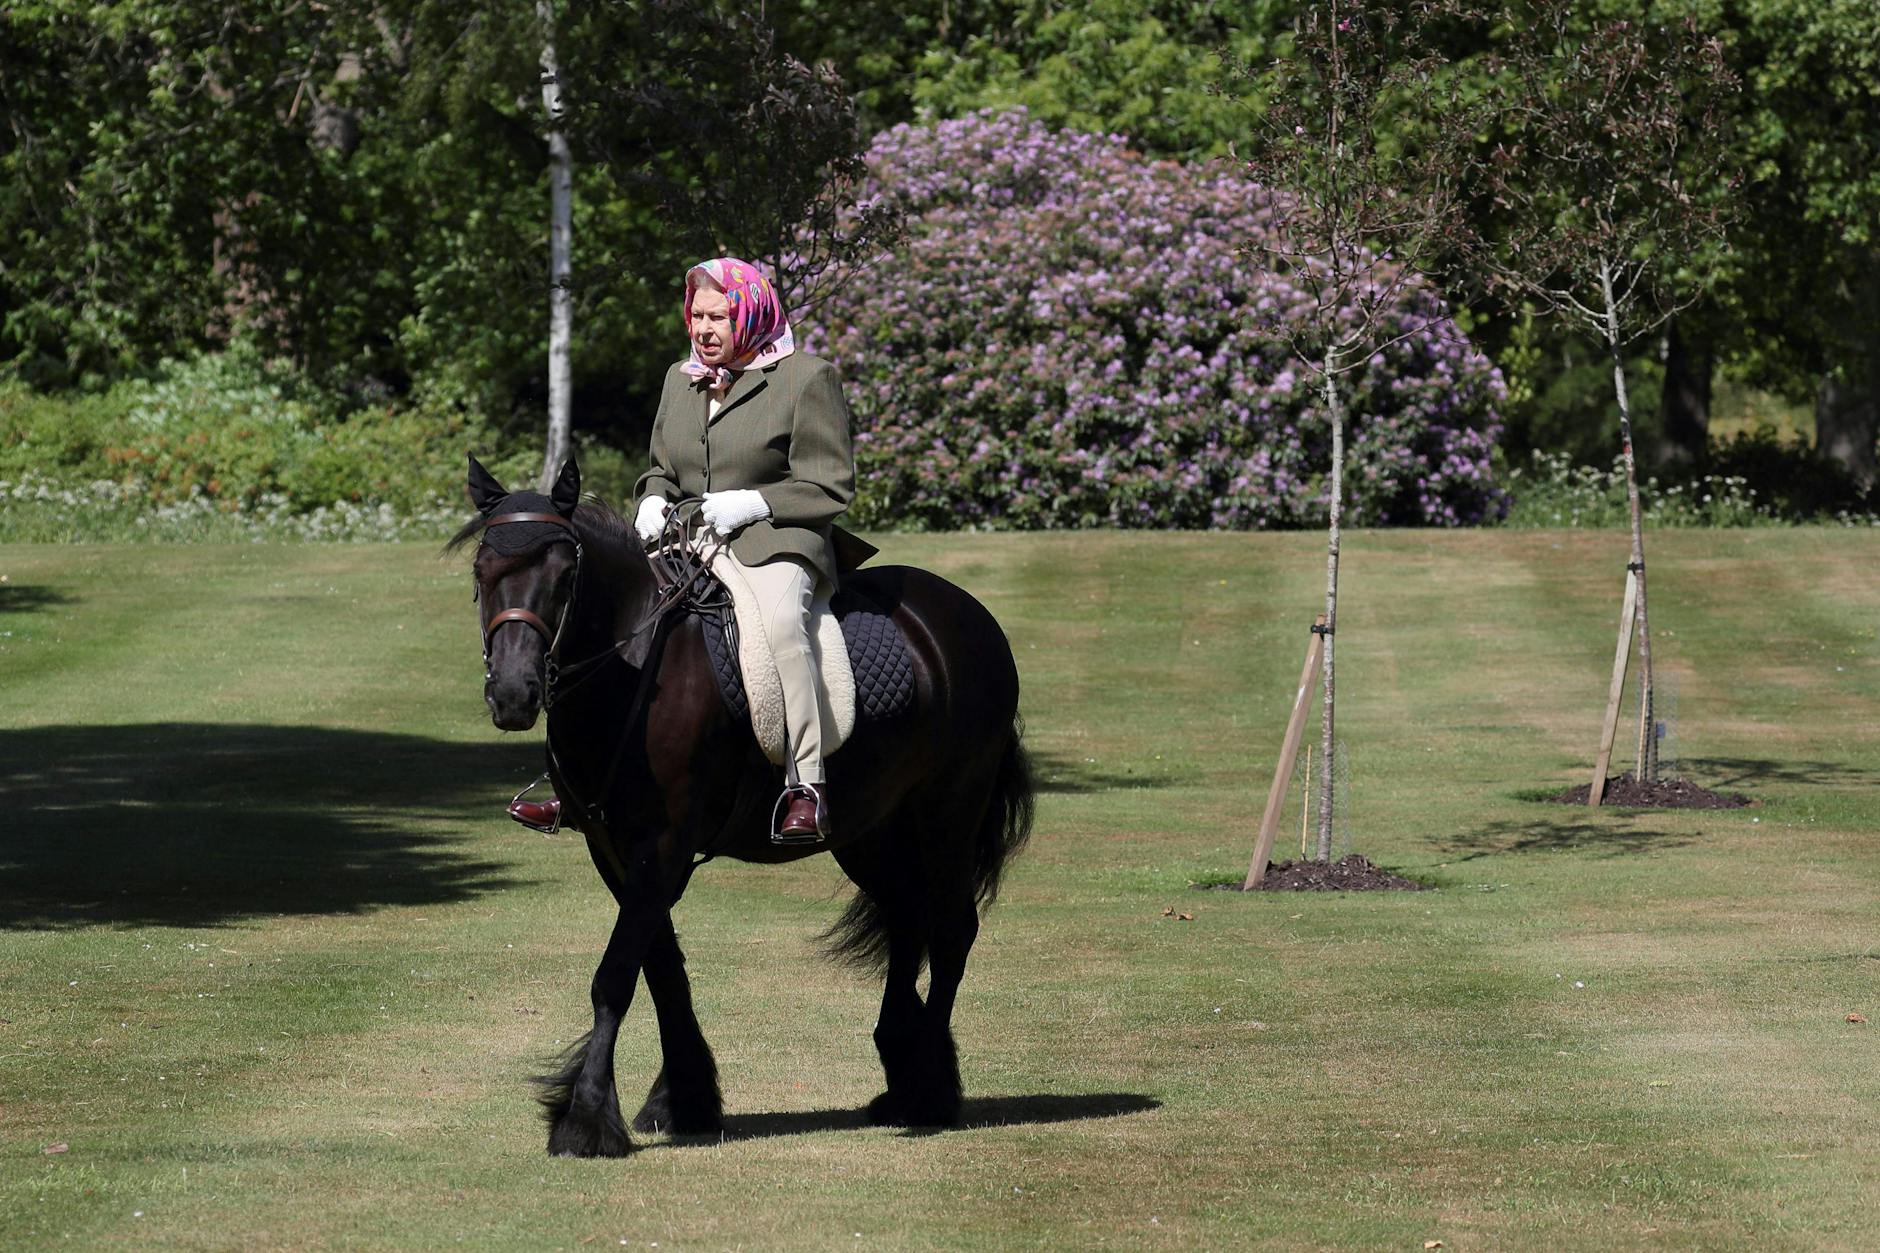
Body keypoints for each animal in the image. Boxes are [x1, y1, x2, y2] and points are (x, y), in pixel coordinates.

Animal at [454, 456, 1034, 1157]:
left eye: (566, 576)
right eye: (482, 573)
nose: (514, 695)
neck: (634, 667)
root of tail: (965, 616)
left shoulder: (664, 845)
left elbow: (616, 975)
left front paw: (587, 1117)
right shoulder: (614, 849)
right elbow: (661, 969)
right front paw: (683, 1100)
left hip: (947, 812)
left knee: (950, 930)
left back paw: (929, 1091)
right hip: (870, 830)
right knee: (906, 919)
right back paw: (901, 1073)